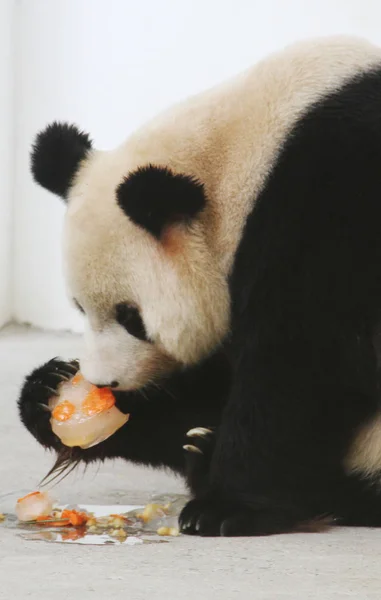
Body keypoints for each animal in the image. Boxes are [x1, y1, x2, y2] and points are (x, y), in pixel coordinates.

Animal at [16, 35, 381, 536]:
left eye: (133, 318)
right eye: (79, 308)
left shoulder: (331, 210)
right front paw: (47, 392)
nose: (104, 381)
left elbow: (301, 361)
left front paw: (228, 507)